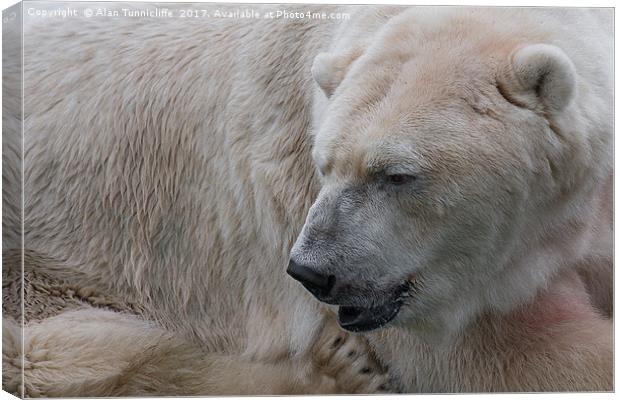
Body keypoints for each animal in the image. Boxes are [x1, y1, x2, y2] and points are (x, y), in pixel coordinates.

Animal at [2, 3, 612, 396]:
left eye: (396, 174)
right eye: (326, 164)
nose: (310, 272)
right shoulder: (451, 297)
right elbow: (520, 362)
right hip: (39, 267)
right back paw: (335, 371)